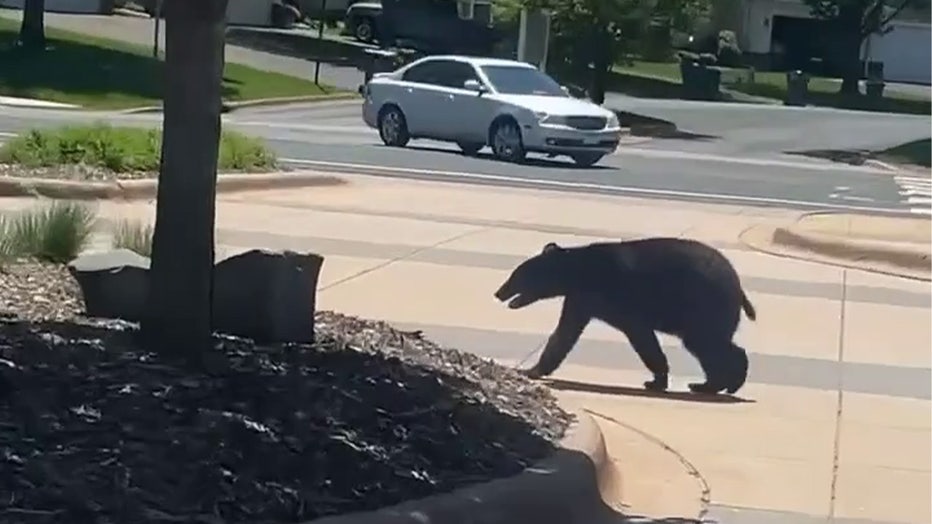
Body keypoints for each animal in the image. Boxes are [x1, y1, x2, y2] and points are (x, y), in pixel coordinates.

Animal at [493, 237, 756, 395]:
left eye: (516, 276)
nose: (498, 292)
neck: (577, 272)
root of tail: (739, 288)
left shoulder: (617, 298)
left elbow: (641, 336)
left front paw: (655, 380)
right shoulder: (582, 299)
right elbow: (565, 333)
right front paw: (532, 370)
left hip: (704, 304)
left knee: (706, 343)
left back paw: (725, 383)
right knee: (707, 345)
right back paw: (709, 384)